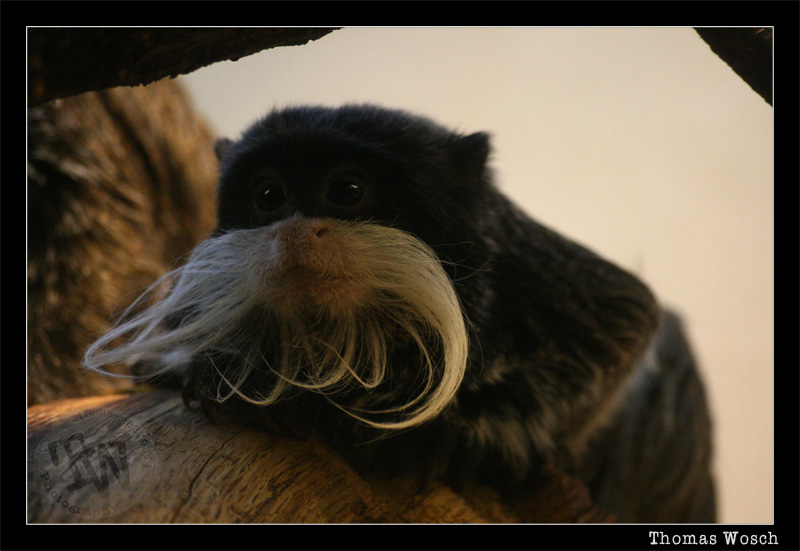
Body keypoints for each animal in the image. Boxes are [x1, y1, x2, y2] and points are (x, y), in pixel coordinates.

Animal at [83, 102, 720, 520]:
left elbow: (630, 317)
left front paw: (481, 433)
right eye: (269, 196)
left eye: (347, 191)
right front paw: (224, 376)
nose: (295, 232)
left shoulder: (530, 262)